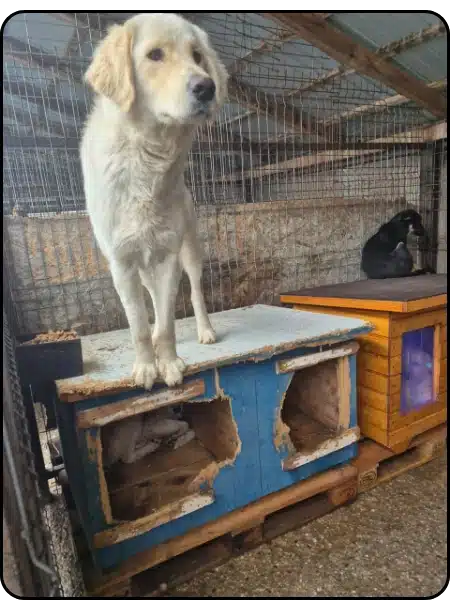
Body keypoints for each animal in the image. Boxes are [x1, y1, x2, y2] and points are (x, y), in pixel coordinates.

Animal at [80, 13, 228, 391]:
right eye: (155, 55)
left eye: (197, 56)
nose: (207, 87)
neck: (148, 157)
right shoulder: (122, 264)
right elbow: (140, 327)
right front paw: (147, 367)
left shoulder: (167, 257)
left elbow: (166, 326)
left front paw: (170, 364)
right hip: (143, 271)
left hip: (190, 250)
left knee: (195, 293)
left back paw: (205, 330)